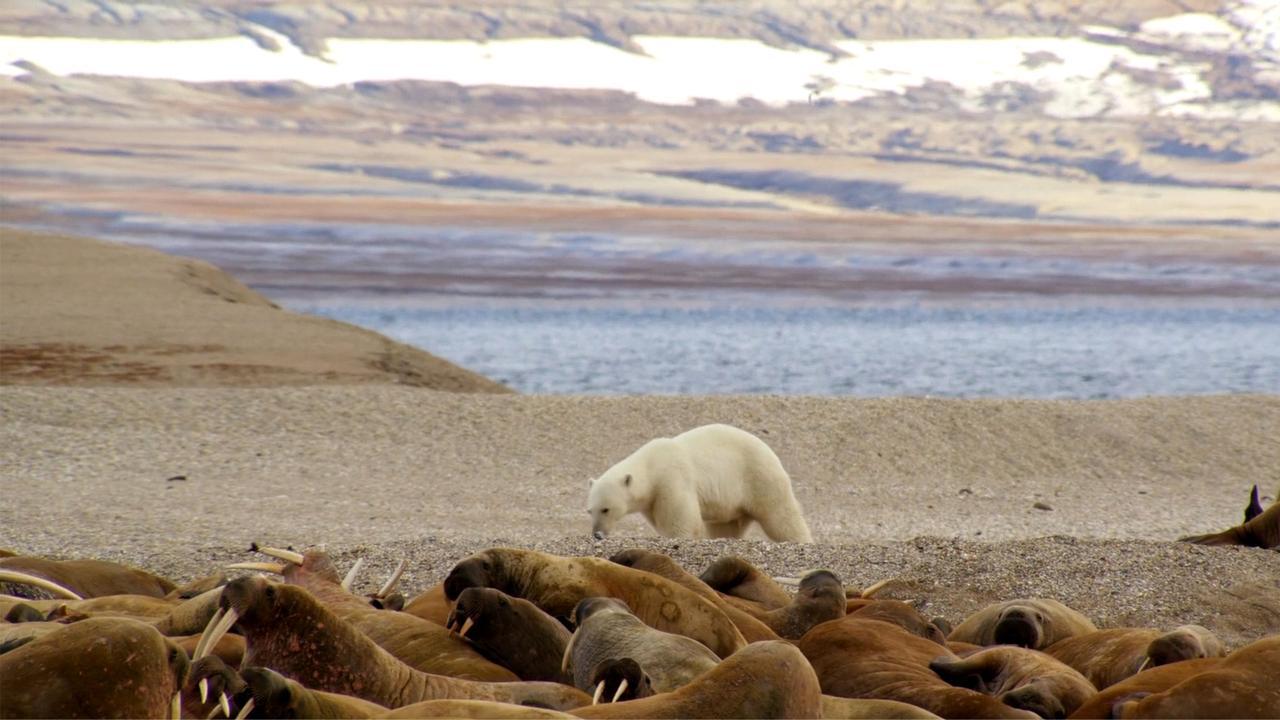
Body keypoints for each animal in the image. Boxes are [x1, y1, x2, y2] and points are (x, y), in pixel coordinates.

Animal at [586, 420, 808, 538]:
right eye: (590, 511)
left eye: (606, 509)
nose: (597, 534)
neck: (651, 465)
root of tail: (769, 450)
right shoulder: (652, 500)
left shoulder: (672, 479)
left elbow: (681, 519)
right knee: (725, 527)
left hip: (758, 476)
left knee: (781, 516)